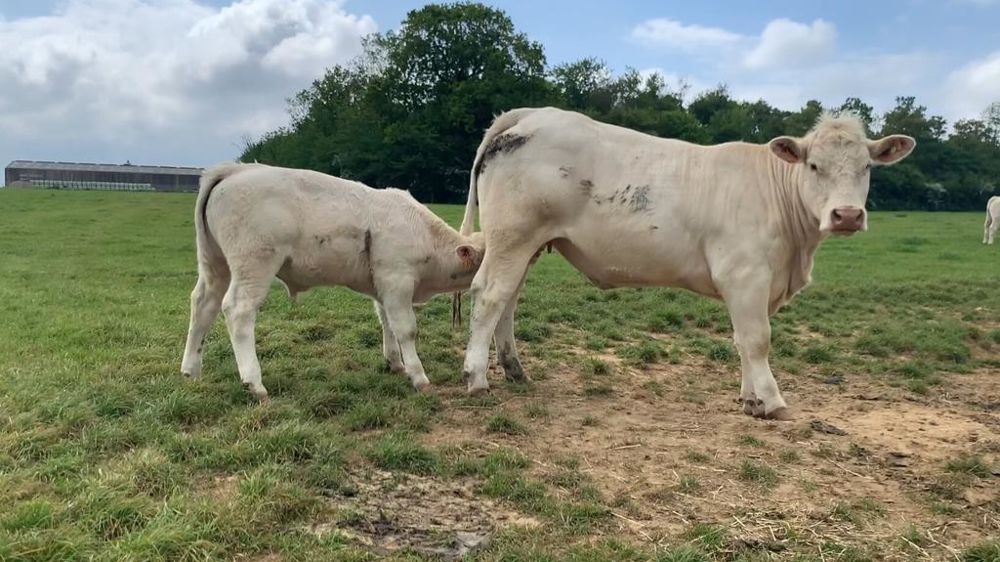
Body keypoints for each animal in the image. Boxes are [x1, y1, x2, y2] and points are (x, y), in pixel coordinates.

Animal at [180, 163, 484, 400]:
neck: (425, 235)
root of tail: (234, 170)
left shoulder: (383, 288)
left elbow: (387, 324)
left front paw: (394, 363)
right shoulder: (397, 281)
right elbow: (406, 330)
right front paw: (419, 377)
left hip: (215, 264)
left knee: (203, 304)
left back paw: (190, 370)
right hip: (253, 265)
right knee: (238, 311)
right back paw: (254, 383)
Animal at [456, 107, 915, 420]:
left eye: (867, 167)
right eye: (814, 165)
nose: (847, 215)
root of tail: (532, 114)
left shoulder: (756, 285)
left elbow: (741, 340)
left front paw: (750, 399)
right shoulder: (745, 274)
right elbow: (757, 340)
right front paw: (772, 400)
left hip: (527, 244)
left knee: (508, 300)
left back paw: (515, 370)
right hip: (512, 237)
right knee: (490, 295)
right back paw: (477, 377)